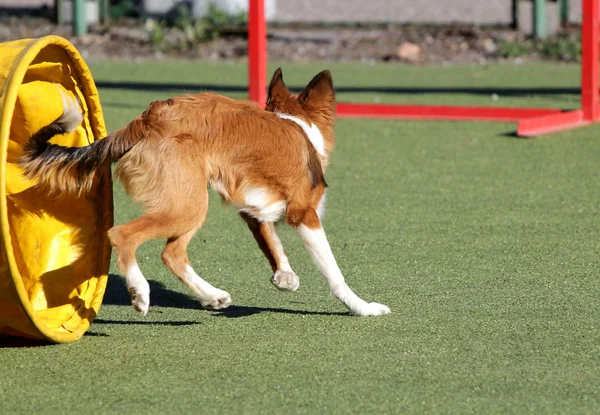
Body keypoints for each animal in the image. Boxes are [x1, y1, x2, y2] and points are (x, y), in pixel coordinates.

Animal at [19, 68, 390, 316]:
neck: (295, 124)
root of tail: (149, 118)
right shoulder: (306, 215)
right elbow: (334, 273)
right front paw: (362, 306)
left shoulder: (253, 209)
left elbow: (272, 242)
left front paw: (284, 277)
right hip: (188, 206)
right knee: (122, 235)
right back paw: (140, 293)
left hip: (189, 204)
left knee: (172, 254)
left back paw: (212, 296)